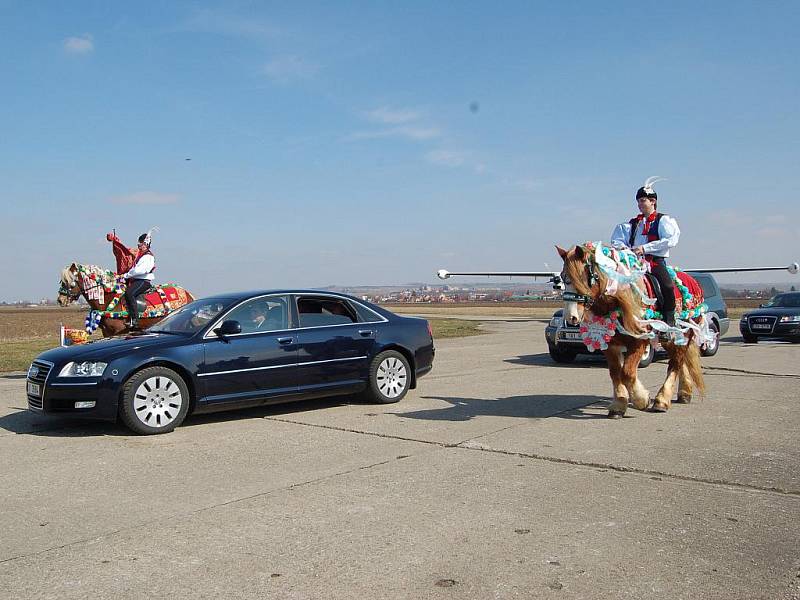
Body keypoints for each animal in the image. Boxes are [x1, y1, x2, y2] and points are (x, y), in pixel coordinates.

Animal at [57, 262, 195, 338]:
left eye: (69, 281)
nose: (60, 300)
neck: (108, 299)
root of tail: (187, 293)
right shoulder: (106, 332)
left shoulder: (118, 331)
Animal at [556, 244, 708, 418]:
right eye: (563, 278)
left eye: (582, 278)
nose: (571, 317)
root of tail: (693, 282)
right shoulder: (610, 344)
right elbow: (616, 372)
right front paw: (619, 404)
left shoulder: (639, 341)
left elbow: (627, 372)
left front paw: (642, 399)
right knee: (680, 360)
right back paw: (684, 393)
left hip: (683, 333)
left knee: (675, 362)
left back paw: (662, 400)